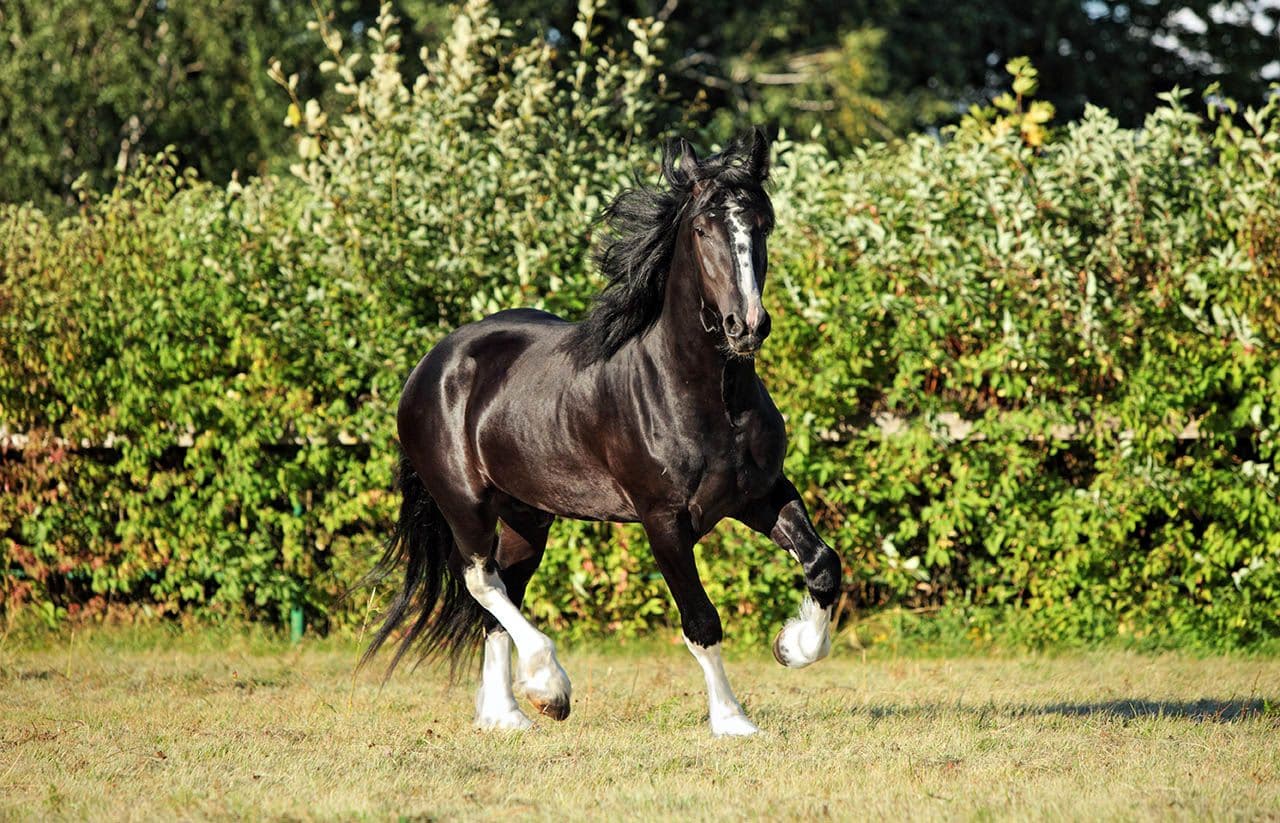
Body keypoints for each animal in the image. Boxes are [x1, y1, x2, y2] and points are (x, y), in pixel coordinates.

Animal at [365, 128, 842, 736]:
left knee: (501, 593)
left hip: (526, 516)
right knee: (482, 581)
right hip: (464, 503)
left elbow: (823, 565)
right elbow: (701, 620)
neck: (709, 397)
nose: (747, 327)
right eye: (703, 229)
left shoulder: (761, 496)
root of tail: (432, 364)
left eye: (763, 224)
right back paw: (549, 686)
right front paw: (731, 720)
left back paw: (507, 714)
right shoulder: (664, 521)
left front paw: (791, 645)